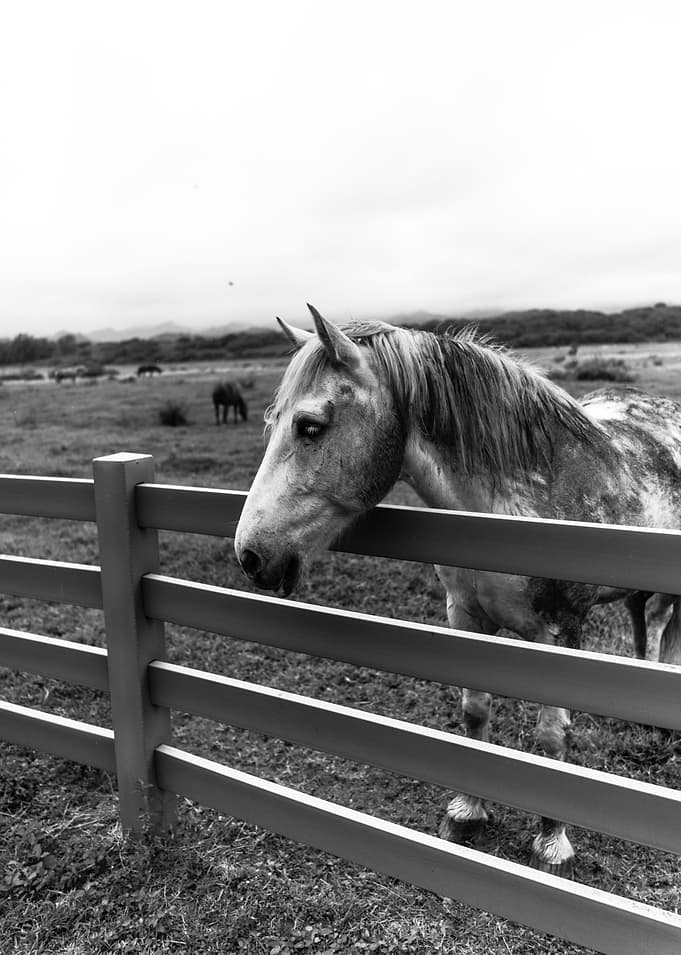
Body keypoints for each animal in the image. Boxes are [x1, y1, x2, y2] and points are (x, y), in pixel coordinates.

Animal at [234, 304, 681, 878]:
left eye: (310, 426)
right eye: (271, 421)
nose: (250, 555)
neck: (513, 507)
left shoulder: (562, 631)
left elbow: (551, 735)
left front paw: (552, 843)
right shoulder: (466, 618)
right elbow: (474, 712)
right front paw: (468, 813)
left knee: (664, 625)